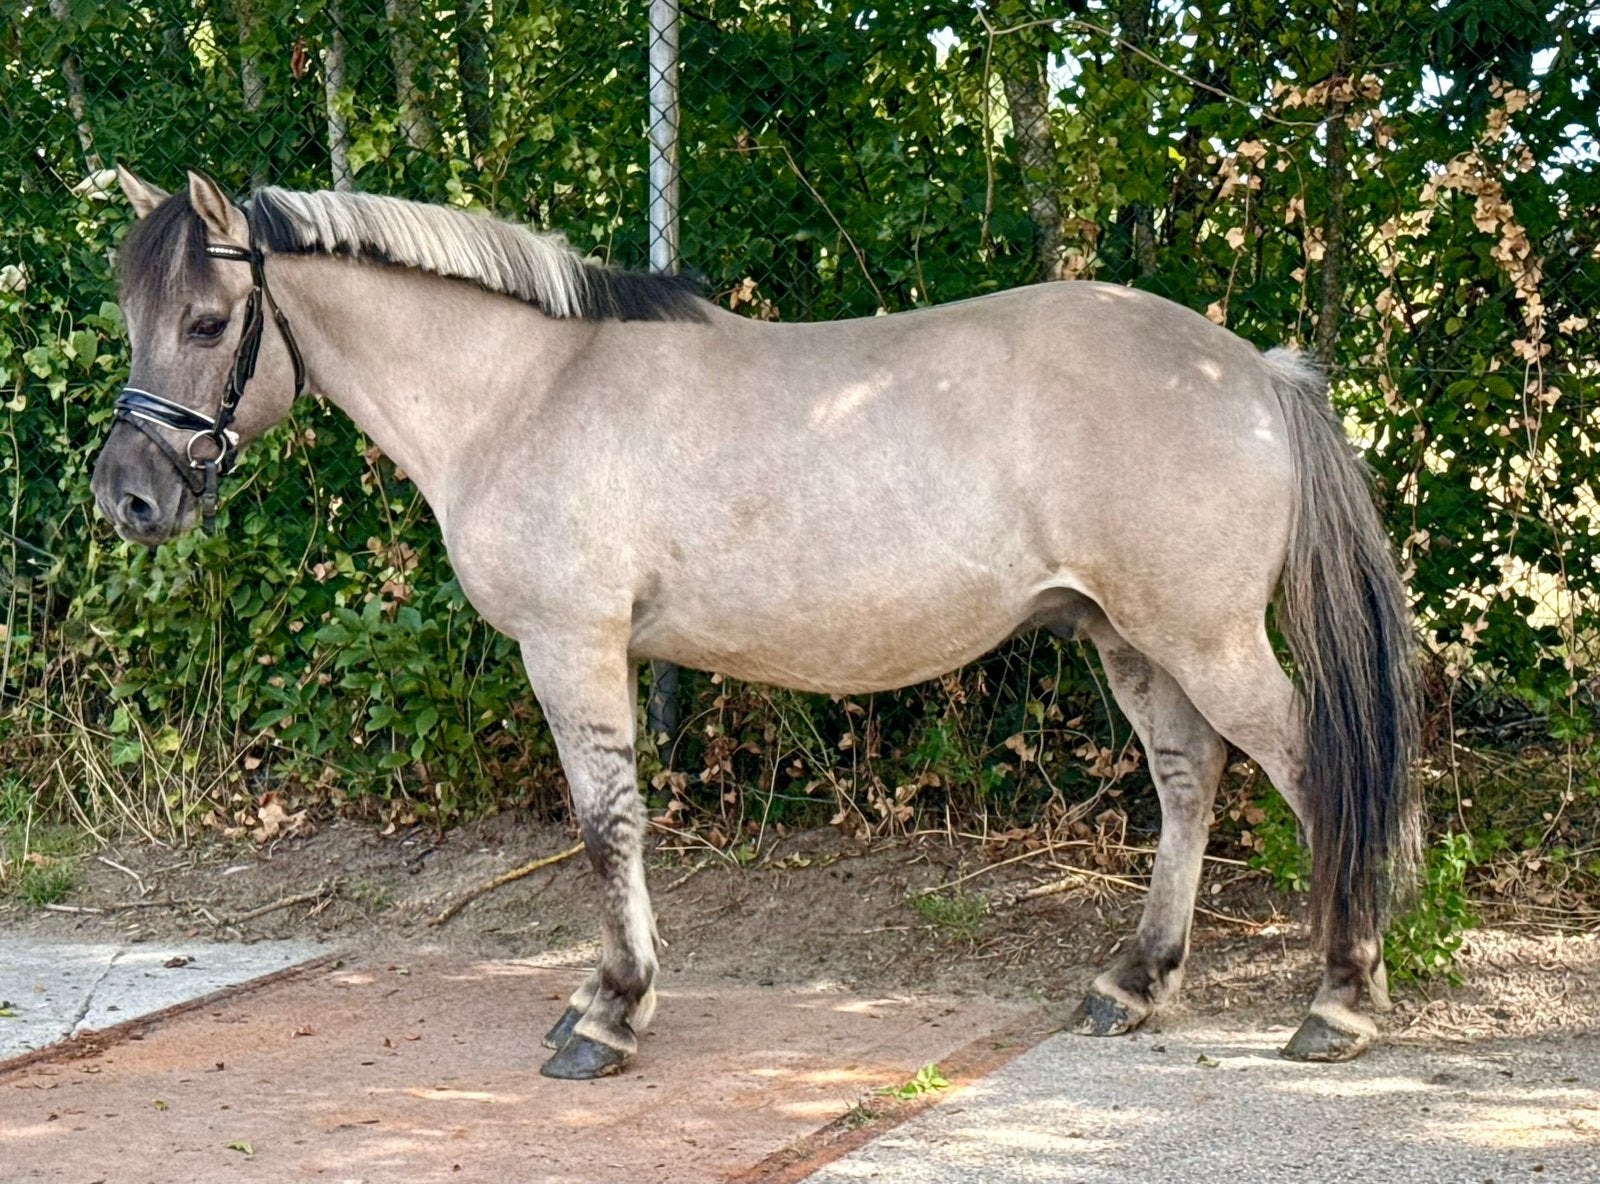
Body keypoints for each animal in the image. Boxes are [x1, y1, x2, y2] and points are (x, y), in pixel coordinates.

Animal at [92, 168, 1419, 1079]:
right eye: (132, 318)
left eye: (208, 322)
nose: (128, 494)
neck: (524, 388)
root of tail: (1253, 372)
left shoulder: (570, 646)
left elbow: (606, 827)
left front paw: (609, 1013)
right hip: (1126, 637)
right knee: (1189, 778)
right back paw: (1133, 984)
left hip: (1203, 639)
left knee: (1310, 769)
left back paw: (1339, 999)